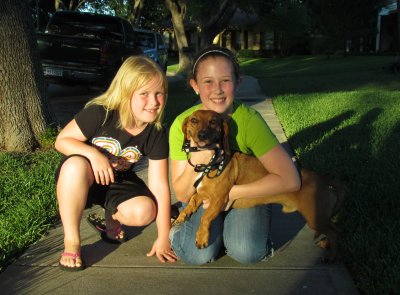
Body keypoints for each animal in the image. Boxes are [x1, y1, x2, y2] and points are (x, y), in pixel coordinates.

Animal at [173, 110, 346, 262]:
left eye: (213, 121)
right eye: (194, 120)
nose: (201, 135)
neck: (209, 163)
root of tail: (323, 178)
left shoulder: (218, 199)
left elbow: (205, 217)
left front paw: (201, 237)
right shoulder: (202, 193)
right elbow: (192, 201)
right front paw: (182, 216)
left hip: (315, 217)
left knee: (335, 233)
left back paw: (331, 256)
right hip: (321, 217)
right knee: (335, 229)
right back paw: (325, 244)